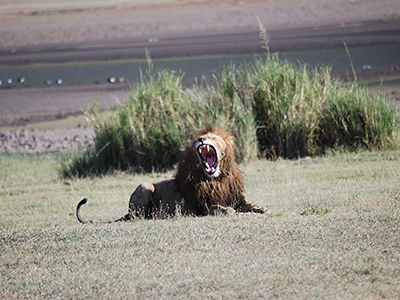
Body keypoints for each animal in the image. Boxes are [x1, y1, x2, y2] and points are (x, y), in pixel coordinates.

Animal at [75, 124, 268, 223]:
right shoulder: (203, 207)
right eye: (202, 137)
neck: (216, 179)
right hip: (145, 185)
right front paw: (232, 211)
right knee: (137, 216)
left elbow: (248, 204)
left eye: (213, 137)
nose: (201, 139)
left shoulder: (235, 197)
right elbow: (224, 209)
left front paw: (260, 207)